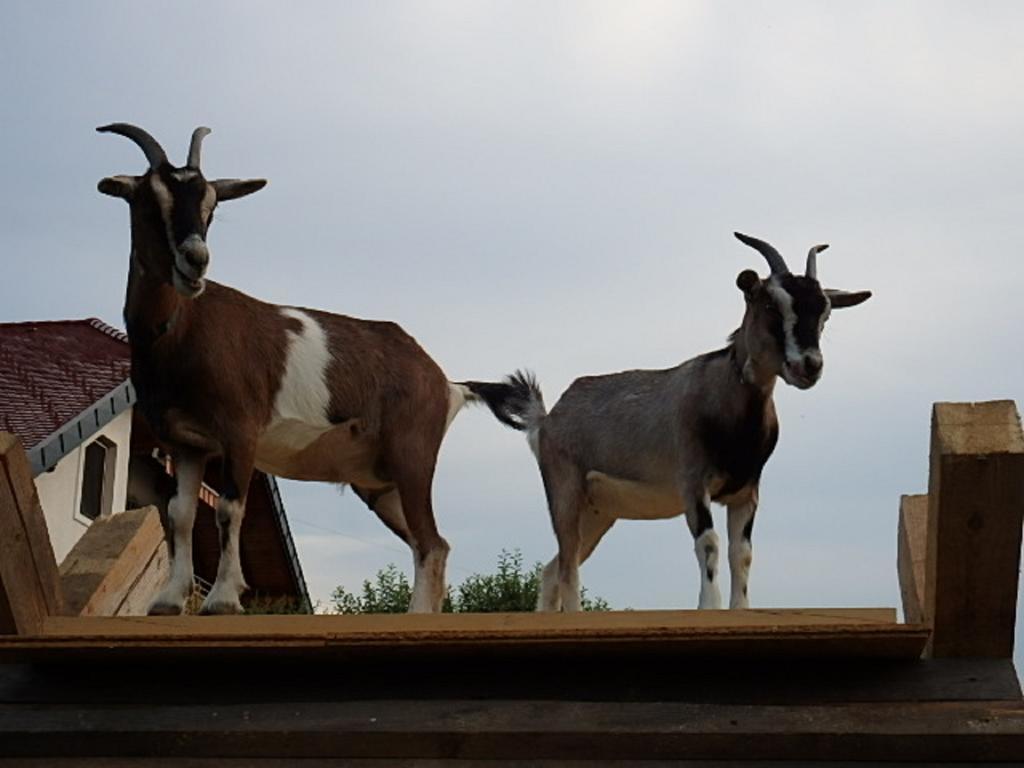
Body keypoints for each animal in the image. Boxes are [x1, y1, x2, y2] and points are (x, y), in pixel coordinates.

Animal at [98, 123, 487, 618]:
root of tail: (446, 383)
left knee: (429, 540)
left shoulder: (240, 431)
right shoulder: (187, 444)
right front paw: (168, 599)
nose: (196, 261)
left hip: (412, 456)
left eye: (211, 206)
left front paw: (223, 599)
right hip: (379, 483)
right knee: (433, 544)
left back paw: (416, 615)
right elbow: (181, 513)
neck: (182, 329)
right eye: (149, 200)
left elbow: (229, 509)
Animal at [468, 234, 868, 614]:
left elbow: (742, 554)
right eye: (770, 303)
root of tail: (546, 418)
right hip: (565, 492)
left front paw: (740, 609)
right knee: (567, 566)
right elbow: (709, 544)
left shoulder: (746, 492)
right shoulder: (693, 482)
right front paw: (709, 607)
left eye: (825, 312)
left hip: (599, 513)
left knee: (553, 568)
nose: (809, 365)